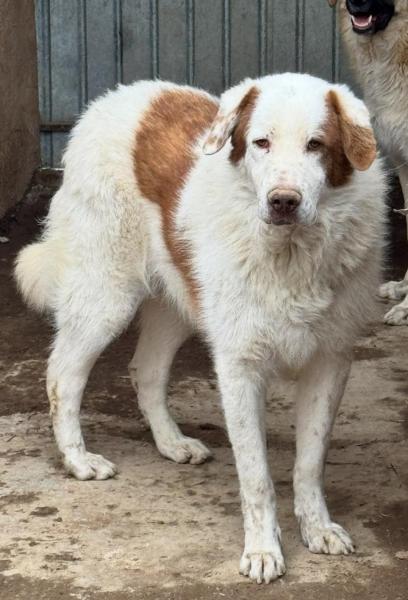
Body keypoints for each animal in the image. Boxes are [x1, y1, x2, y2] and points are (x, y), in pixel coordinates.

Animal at [15, 73, 386, 583]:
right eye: (261, 142)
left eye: (316, 145)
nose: (283, 202)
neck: (290, 255)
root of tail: (111, 98)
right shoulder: (239, 368)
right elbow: (257, 477)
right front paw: (263, 550)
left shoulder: (330, 362)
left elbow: (310, 464)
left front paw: (317, 528)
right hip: (106, 295)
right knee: (61, 375)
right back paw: (78, 459)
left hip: (177, 301)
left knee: (146, 370)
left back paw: (172, 443)